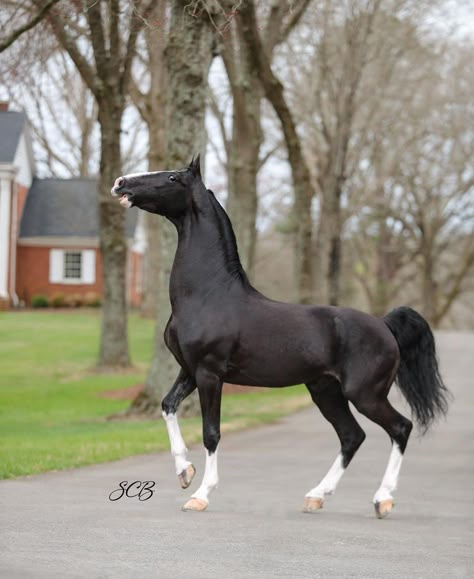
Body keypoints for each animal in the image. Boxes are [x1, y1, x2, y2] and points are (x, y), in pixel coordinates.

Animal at [111, 156, 448, 520]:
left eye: (172, 177)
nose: (120, 183)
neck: (209, 295)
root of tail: (384, 325)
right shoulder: (189, 370)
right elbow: (167, 406)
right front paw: (184, 472)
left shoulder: (209, 373)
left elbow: (211, 433)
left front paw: (200, 495)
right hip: (325, 391)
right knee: (351, 436)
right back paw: (316, 496)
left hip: (365, 394)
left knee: (400, 428)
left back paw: (382, 500)